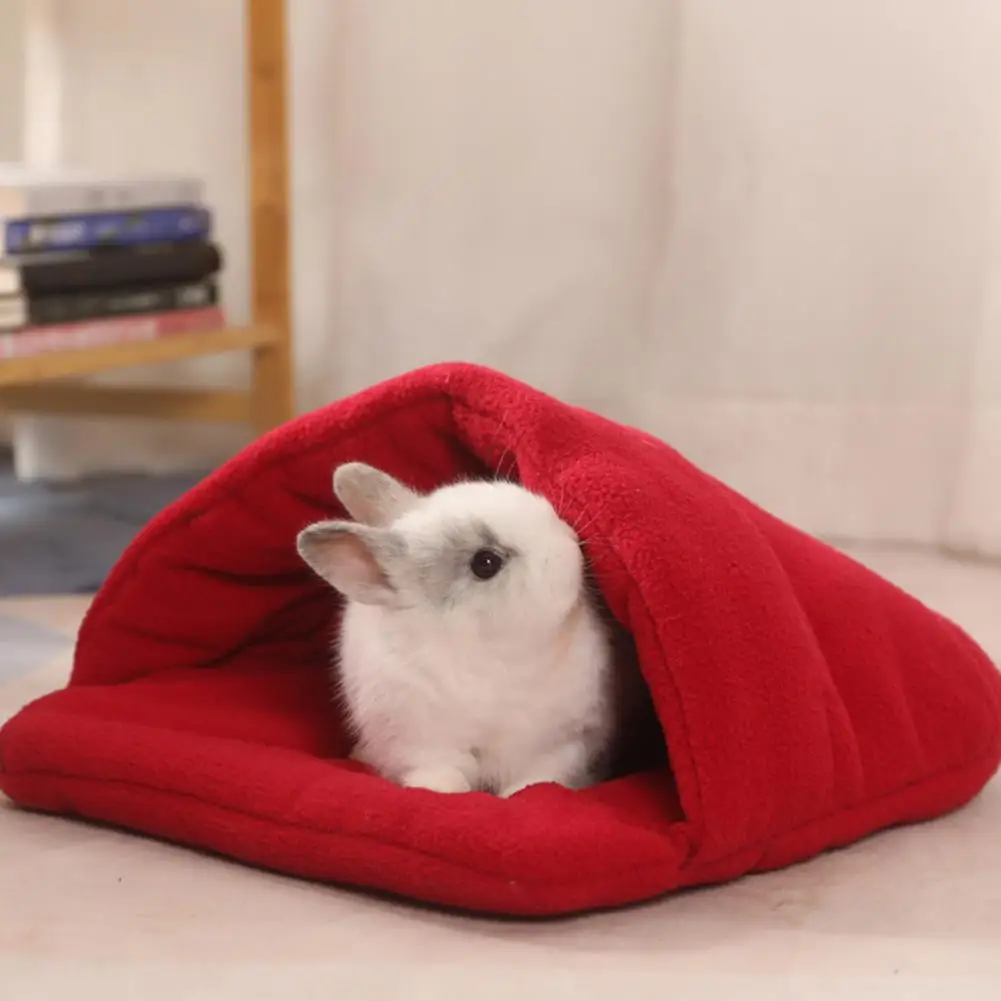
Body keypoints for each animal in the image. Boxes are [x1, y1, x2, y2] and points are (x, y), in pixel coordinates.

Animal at [296, 461, 620, 797]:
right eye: (485, 563)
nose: (571, 541)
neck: (495, 657)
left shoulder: (567, 742)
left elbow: (538, 779)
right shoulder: (420, 745)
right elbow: (443, 774)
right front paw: (441, 790)